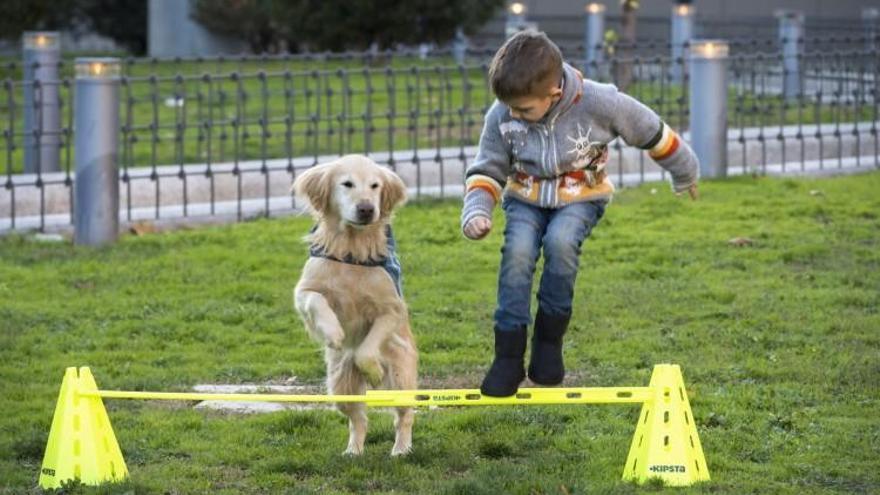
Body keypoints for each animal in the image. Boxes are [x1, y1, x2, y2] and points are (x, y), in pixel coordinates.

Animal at [292, 155, 420, 458]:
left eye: (375, 186)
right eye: (347, 183)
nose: (366, 209)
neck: (352, 249)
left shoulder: (392, 309)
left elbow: (366, 348)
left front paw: (373, 370)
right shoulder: (304, 291)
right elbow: (316, 300)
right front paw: (334, 333)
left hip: (401, 374)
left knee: (404, 415)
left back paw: (401, 448)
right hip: (339, 384)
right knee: (358, 418)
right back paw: (354, 450)